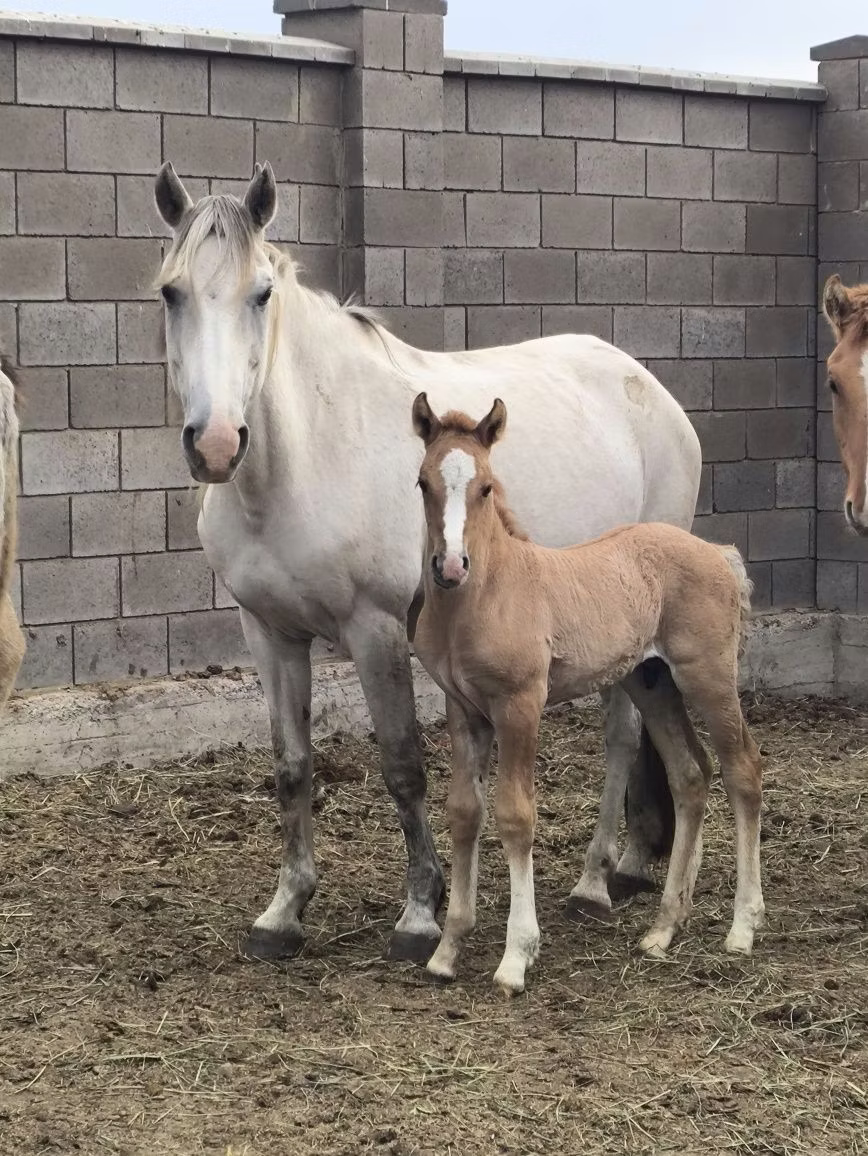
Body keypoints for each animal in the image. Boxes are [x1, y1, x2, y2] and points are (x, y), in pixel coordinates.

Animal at [152, 160, 702, 963]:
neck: (310, 452)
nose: (218, 444)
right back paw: (628, 864)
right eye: (172, 292)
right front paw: (284, 912)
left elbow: (403, 766)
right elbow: (291, 768)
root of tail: (649, 388)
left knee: (622, 736)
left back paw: (595, 881)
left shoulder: (376, 629)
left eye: (262, 293)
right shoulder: (270, 633)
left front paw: (420, 915)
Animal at [411, 395, 764, 994]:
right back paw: (663, 929)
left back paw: (743, 926)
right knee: (690, 774)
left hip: (708, 675)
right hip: (651, 681)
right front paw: (447, 949)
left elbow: (516, 817)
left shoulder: (520, 705)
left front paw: (516, 957)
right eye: (422, 483)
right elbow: (463, 813)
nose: (451, 566)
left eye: (485, 487)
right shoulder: (464, 711)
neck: (485, 596)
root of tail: (718, 552)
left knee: (743, 770)